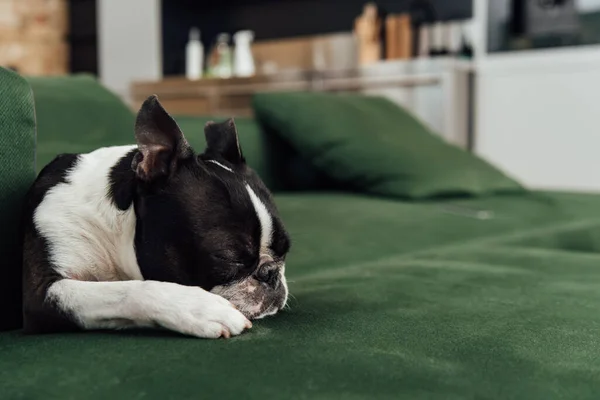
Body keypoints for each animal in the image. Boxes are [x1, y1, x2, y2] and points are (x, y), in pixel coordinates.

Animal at [19, 96, 290, 338]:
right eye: (229, 257)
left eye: (286, 250)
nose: (271, 273)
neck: (112, 229)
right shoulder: (41, 292)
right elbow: (126, 291)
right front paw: (199, 308)